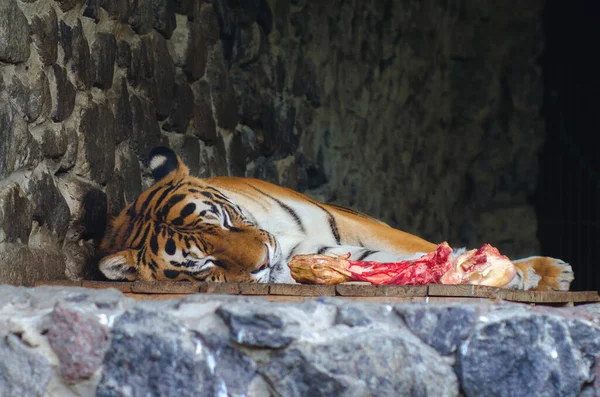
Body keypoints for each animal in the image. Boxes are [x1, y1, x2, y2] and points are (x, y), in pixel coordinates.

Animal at [98, 145, 576, 290]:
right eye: (202, 264)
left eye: (226, 220)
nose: (264, 258)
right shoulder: (321, 251)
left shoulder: (347, 225)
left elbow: (417, 249)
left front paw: (513, 271)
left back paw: (552, 271)